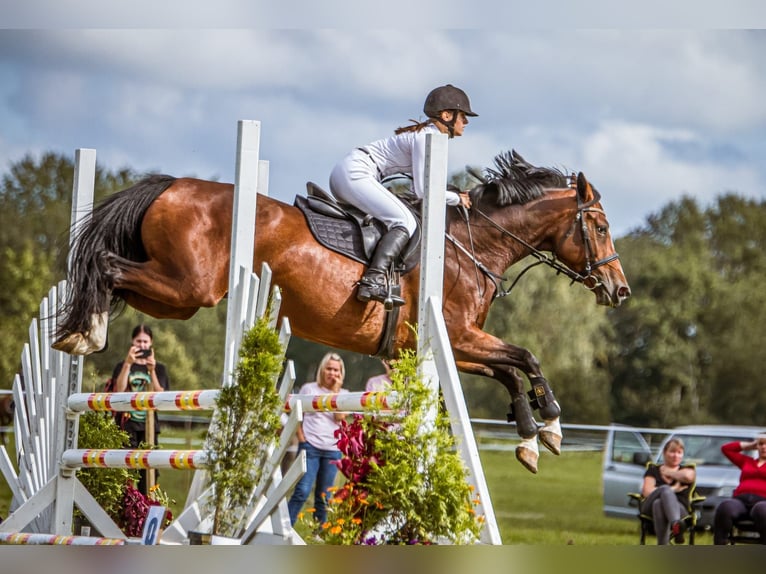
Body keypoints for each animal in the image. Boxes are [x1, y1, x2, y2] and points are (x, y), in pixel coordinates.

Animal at [52, 151, 632, 474]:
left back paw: (81, 331)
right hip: (187, 288)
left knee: (116, 275)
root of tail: (171, 185)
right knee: (106, 265)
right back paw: (85, 333)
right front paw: (550, 423)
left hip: (175, 298)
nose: (620, 290)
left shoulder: (451, 347)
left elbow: (511, 371)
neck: (471, 246)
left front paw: (534, 438)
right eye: (601, 226)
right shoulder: (458, 336)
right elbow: (527, 358)